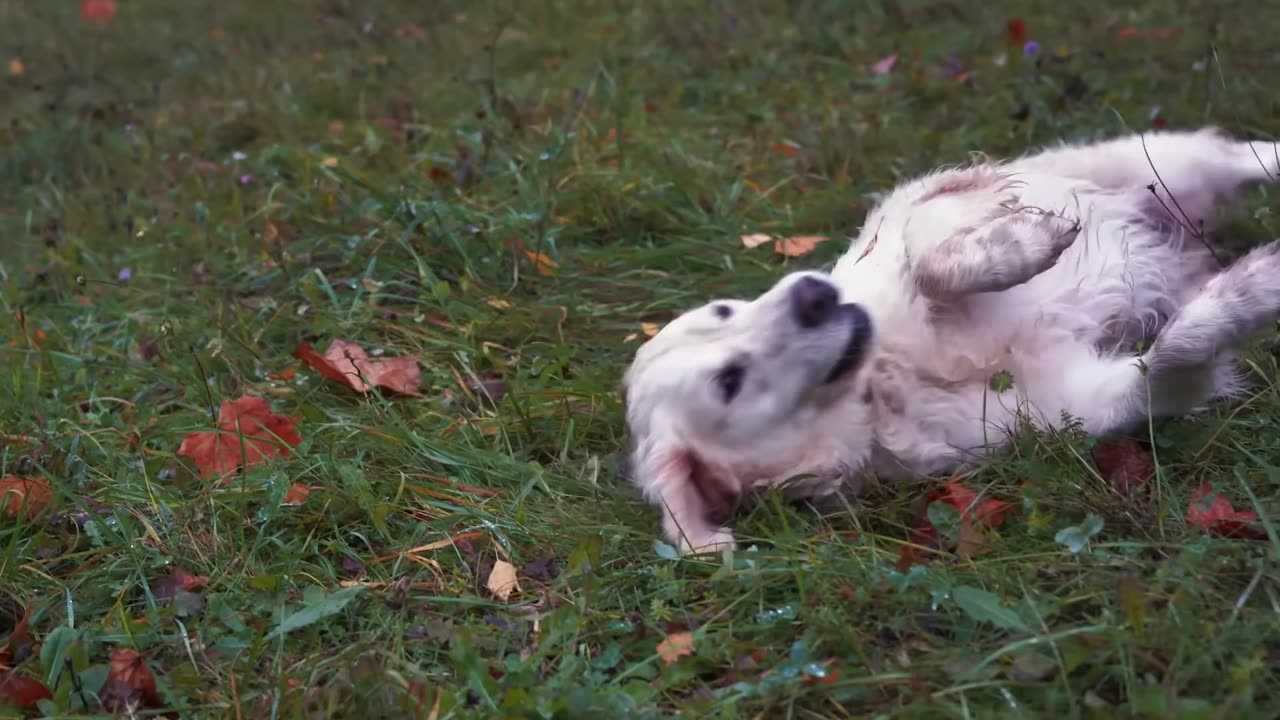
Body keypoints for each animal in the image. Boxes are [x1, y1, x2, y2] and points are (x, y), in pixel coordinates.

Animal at [622, 128, 1280, 550]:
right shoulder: (1090, 401)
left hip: (1153, 162)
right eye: (728, 382)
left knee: (1248, 154)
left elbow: (926, 256)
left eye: (725, 308)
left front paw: (1022, 242)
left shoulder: (927, 214)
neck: (890, 376)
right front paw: (1253, 289)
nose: (813, 293)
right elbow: (1176, 354)